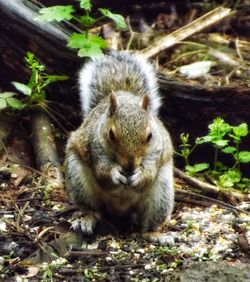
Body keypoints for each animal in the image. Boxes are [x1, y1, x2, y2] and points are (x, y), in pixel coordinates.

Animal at [64, 51, 174, 245]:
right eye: (111, 134)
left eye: (149, 136)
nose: (129, 166)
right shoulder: (95, 146)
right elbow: (102, 171)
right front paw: (115, 173)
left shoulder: (157, 151)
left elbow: (150, 171)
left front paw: (139, 175)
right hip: (78, 181)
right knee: (91, 208)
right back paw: (86, 219)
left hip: (162, 196)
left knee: (149, 225)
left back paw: (155, 234)